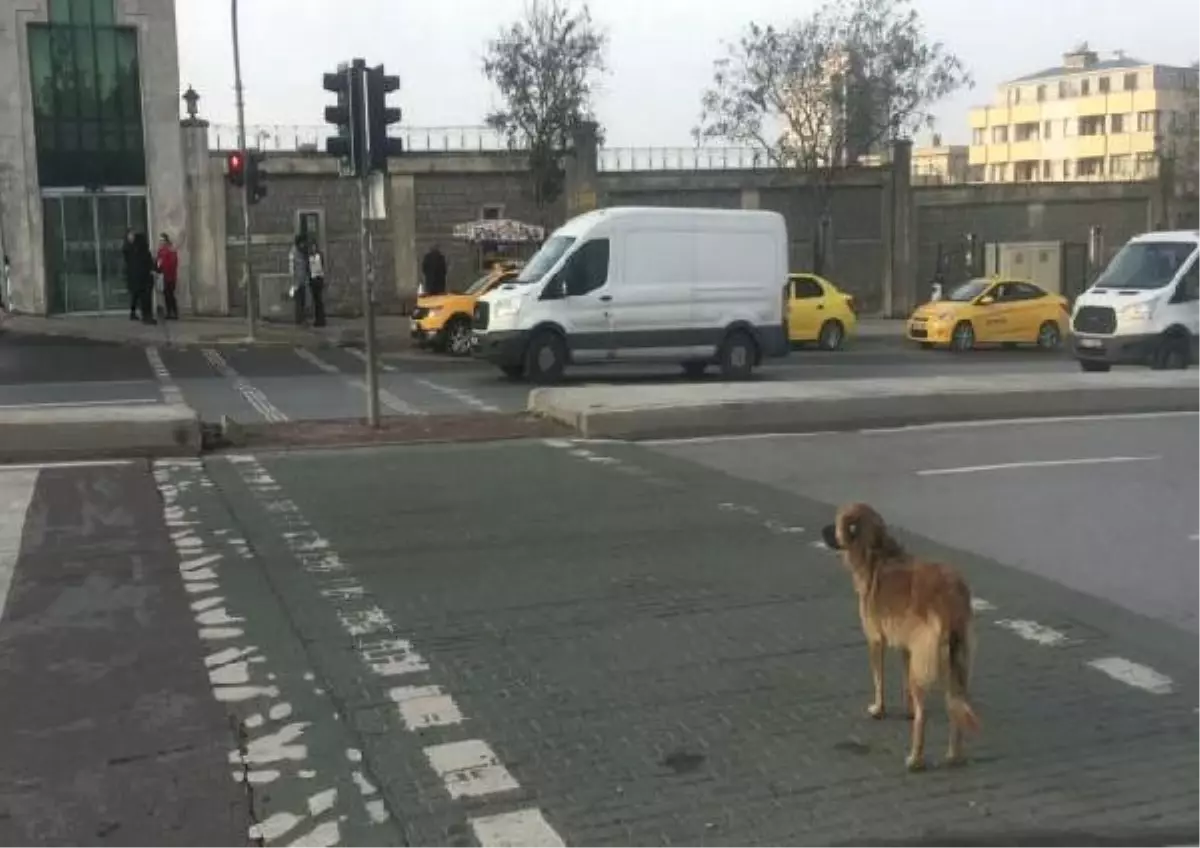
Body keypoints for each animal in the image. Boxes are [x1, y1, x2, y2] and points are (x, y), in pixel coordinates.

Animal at [820, 503, 979, 777]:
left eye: (837, 522)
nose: (822, 530)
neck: (877, 553)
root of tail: (949, 595)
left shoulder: (875, 641)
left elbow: (879, 680)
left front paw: (879, 710)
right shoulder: (908, 649)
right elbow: (904, 685)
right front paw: (907, 710)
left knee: (924, 718)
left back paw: (916, 759)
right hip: (956, 663)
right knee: (954, 707)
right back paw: (954, 755)